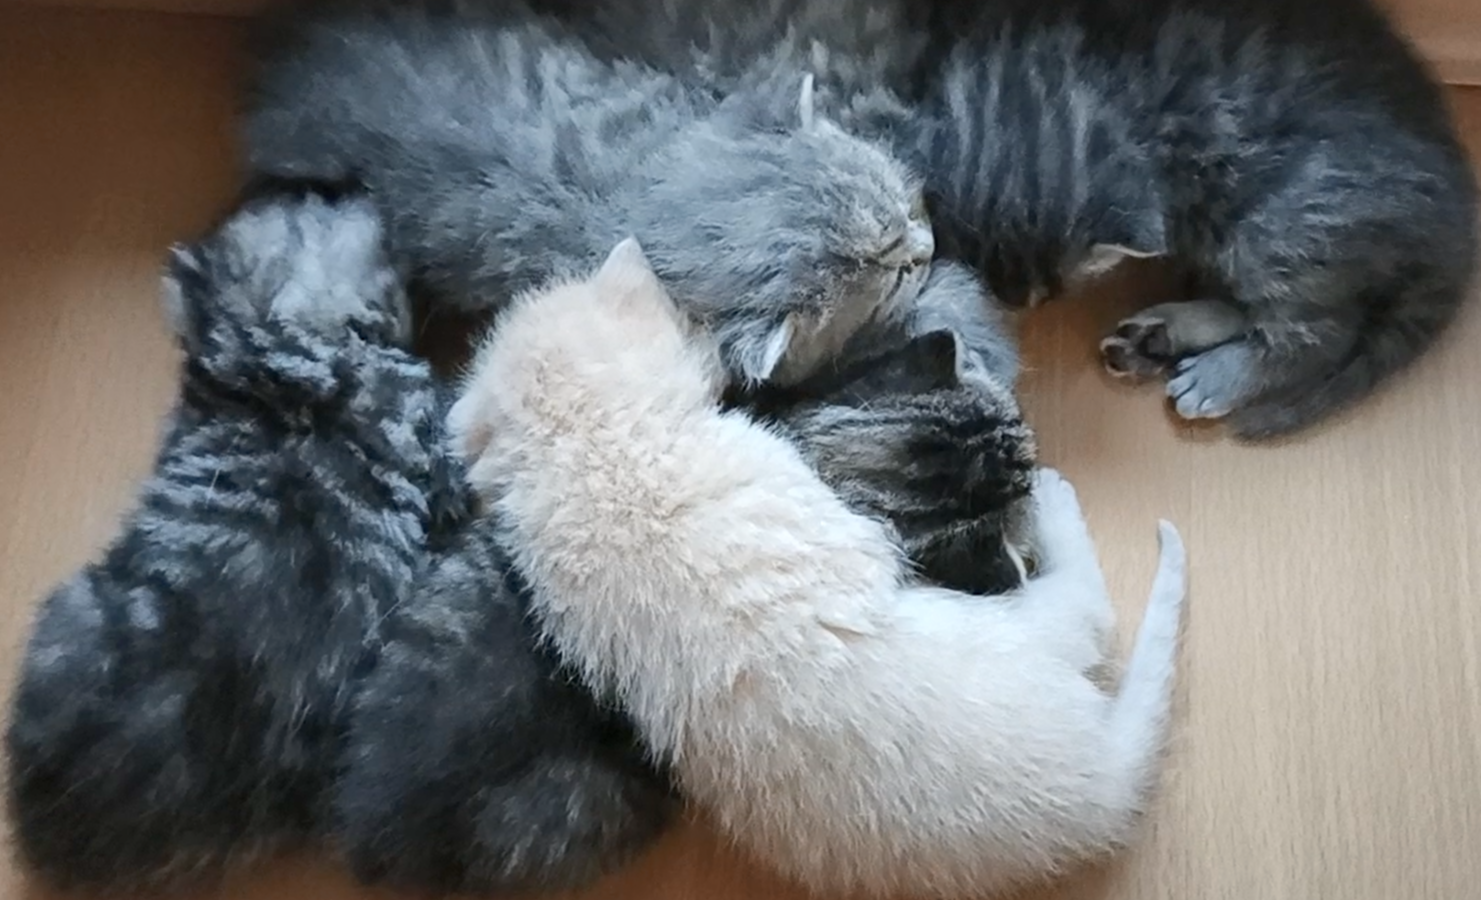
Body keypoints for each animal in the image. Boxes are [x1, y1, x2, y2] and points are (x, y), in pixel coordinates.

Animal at [536, 0, 1479, 439]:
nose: (1019, 305)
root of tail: (1454, 222)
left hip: (1286, 222)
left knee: (1314, 328)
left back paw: (1220, 371)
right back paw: (1168, 330)